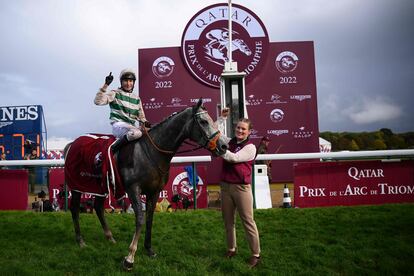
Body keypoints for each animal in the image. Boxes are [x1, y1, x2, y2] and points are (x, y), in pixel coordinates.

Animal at [63, 99, 228, 270]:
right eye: (203, 121)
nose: (223, 146)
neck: (151, 152)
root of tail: (72, 143)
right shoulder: (133, 189)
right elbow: (140, 219)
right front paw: (130, 257)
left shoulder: (154, 191)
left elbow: (149, 219)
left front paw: (148, 249)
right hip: (78, 185)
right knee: (75, 209)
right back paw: (81, 241)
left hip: (100, 186)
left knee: (98, 207)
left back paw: (110, 237)